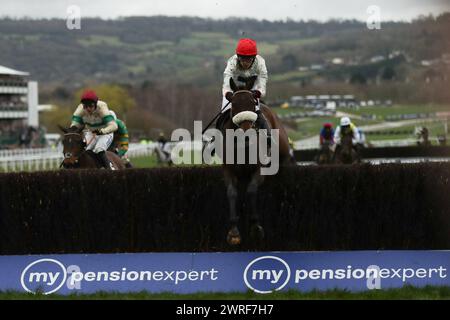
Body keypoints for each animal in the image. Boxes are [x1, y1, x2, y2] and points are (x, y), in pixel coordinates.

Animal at [217, 77, 296, 245]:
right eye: (234, 104)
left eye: (252, 104)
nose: (247, 135)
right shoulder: (228, 169)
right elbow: (232, 192)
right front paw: (233, 232)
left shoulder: (259, 169)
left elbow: (252, 190)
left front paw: (255, 227)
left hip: (284, 155)